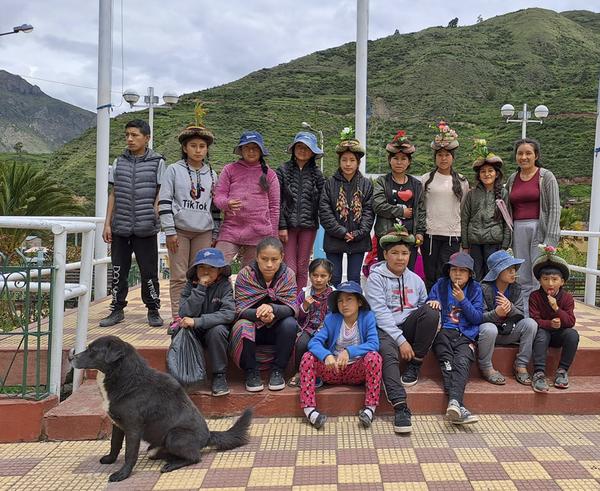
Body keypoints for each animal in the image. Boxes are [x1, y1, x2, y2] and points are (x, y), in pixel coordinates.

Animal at [71, 336, 253, 482]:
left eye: (92, 350)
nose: (71, 356)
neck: (127, 379)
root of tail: (208, 437)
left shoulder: (133, 428)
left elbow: (130, 454)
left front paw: (122, 475)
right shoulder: (118, 424)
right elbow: (114, 444)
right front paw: (110, 459)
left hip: (174, 436)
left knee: (195, 457)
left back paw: (171, 465)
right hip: (158, 446)